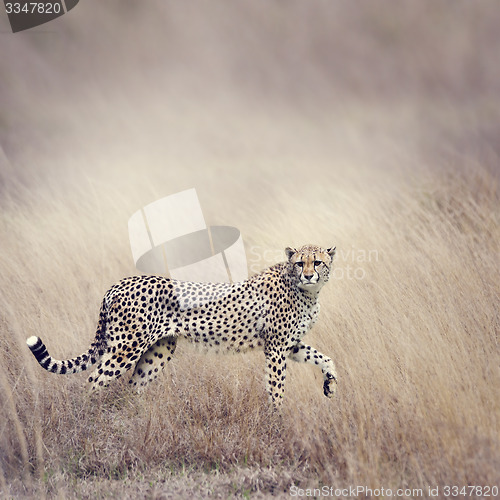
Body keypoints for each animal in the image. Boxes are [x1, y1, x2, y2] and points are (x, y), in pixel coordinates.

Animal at [28, 244, 340, 404]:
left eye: (317, 262)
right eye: (300, 263)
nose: (309, 275)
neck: (306, 291)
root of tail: (119, 283)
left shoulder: (290, 345)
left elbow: (325, 358)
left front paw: (330, 384)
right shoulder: (275, 348)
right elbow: (277, 387)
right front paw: (275, 422)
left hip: (159, 351)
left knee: (133, 386)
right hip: (125, 348)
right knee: (93, 381)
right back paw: (88, 421)